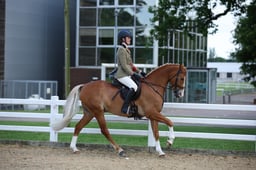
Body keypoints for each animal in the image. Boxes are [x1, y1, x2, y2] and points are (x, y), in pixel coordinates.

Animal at [50, 63, 186, 157]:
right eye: (182, 78)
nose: (180, 94)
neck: (153, 87)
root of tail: (85, 86)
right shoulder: (152, 113)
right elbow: (170, 122)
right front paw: (170, 141)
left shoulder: (153, 115)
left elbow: (156, 133)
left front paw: (160, 152)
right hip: (98, 112)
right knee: (104, 130)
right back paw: (120, 150)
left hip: (89, 113)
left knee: (78, 126)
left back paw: (74, 148)